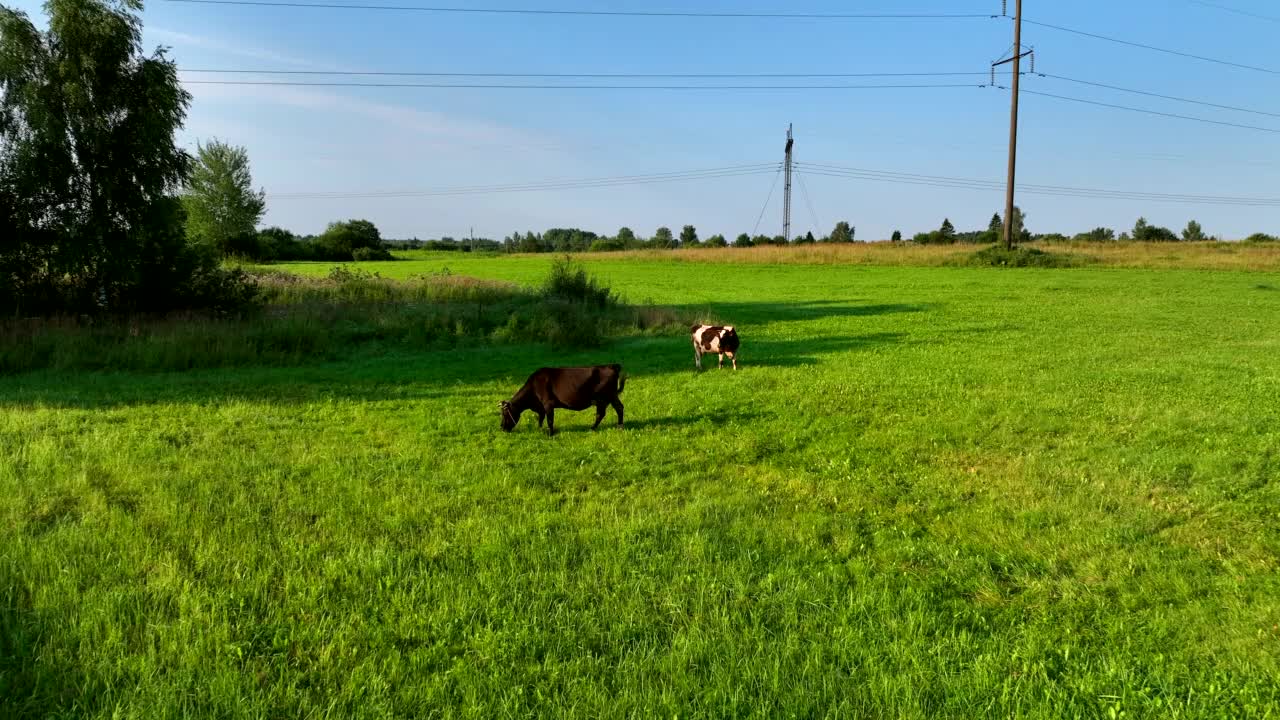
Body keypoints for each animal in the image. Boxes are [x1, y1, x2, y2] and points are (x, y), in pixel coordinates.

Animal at [494, 361, 624, 435]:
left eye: (504, 414)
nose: (501, 427)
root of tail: (611, 366)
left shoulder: (548, 403)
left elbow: (549, 420)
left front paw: (550, 433)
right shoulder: (541, 407)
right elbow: (540, 418)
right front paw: (539, 429)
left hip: (603, 397)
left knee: (602, 413)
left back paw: (594, 428)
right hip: (612, 396)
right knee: (618, 408)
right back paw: (617, 426)